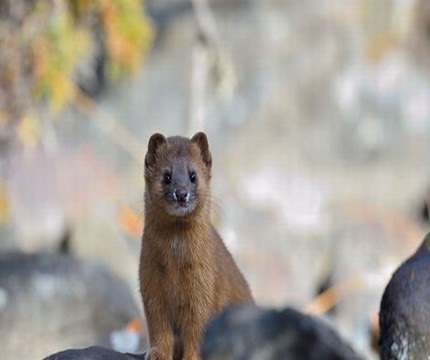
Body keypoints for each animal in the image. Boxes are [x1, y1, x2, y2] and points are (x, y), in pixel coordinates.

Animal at [139, 133, 254, 360]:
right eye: (166, 176)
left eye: (193, 175)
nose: (181, 193)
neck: (174, 265)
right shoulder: (150, 284)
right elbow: (159, 328)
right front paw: (157, 354)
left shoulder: (205, 286)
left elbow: (197, 330)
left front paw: (192, 357)